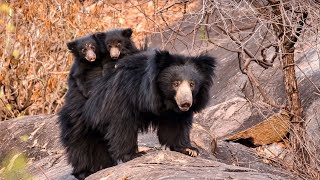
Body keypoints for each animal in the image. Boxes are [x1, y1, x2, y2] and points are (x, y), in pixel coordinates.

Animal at [58, 27, 140, 179]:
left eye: (119, 43)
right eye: (109, 46)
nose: (114, 54)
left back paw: (106, 165)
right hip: (76, 121)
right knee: (79, 146)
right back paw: (83, 172)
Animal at [82, 49, 218, 166]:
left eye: (192, 84)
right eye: (176, 83)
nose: (186, 103)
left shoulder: (173, 111)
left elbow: (176, 125)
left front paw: (189, 149)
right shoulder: (125, 95)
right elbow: (123, 124)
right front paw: (134, 155)